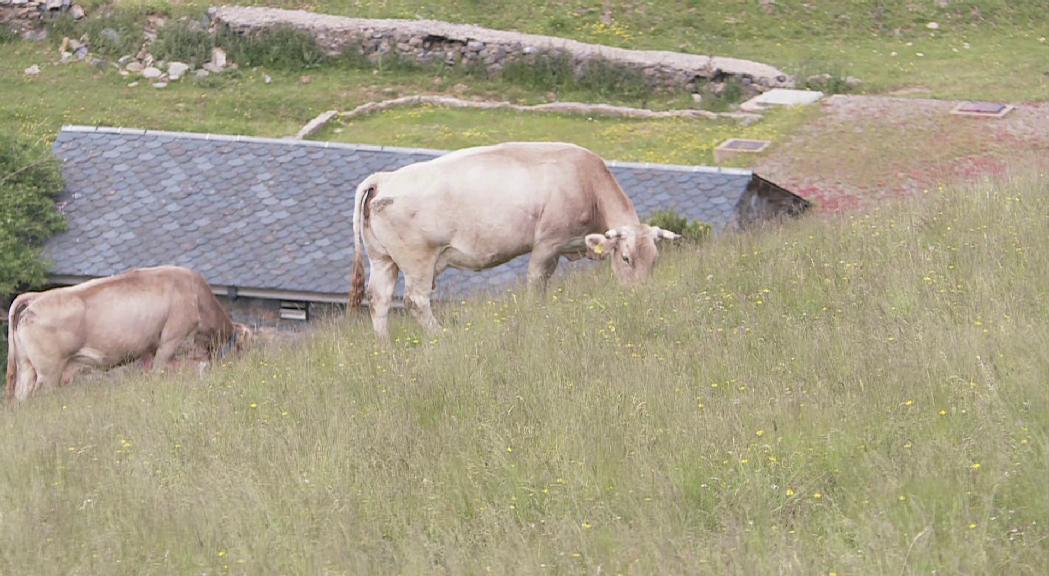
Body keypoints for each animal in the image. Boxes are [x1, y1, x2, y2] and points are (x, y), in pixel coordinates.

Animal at [5, 264, 251, 402]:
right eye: (244, 349)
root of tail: (34, 298)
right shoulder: (170, 340)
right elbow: (165, 370)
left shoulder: (149, 349)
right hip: (49, 372)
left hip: (27, 367)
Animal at [350, 141, 679, 339]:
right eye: (626, 258)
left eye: (655, 261)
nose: (640, 297)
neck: (586, 181)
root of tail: (384, 178)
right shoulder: (547, 244)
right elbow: (536, 284)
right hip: (418, 260)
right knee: (415, 300)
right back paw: (441, 336)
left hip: (383, 259)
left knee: (379, 300)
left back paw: (385, 347)